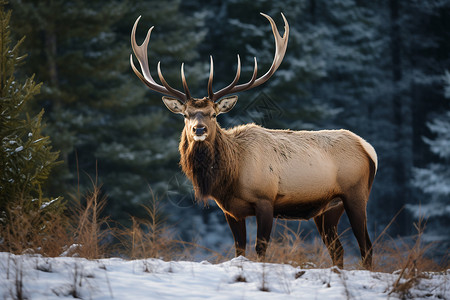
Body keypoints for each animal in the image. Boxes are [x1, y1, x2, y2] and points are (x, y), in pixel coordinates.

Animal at [132, 13, 378, 270]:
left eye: (213, 114)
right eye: (186, 114)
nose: (198, 129)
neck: (231, 174)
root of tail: (368, 149)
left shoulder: (265, 199)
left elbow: (261, 250)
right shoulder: (231, 211)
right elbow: (239, 250)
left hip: (356, 194)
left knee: (366, 246)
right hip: (327, 210)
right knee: (338, 250)